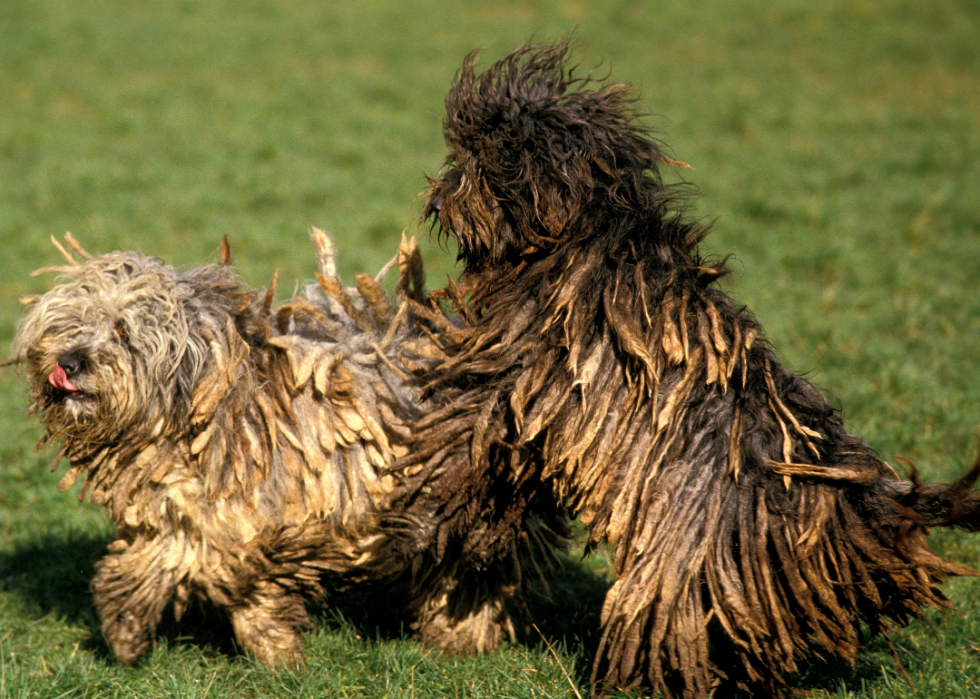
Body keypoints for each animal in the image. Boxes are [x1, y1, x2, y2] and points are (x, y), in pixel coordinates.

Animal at [7, 231, 544, 668]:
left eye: (122, 329)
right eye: (71, 324)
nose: (68, 362)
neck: (208, 405)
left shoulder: (263, 517)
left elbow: (234, 575)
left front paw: (277, 651)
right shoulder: (182, 511)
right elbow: (151, 560)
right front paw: (125, 627)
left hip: (470, 502)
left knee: (474, 571)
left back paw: (460, 637)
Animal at [380, 43, 980, 699]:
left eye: (479, 161)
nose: (437, 202)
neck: (585, 231)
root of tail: (856, 500)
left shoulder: (519, 370)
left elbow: (460, 442)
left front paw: (413, 517)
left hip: (683, 567)